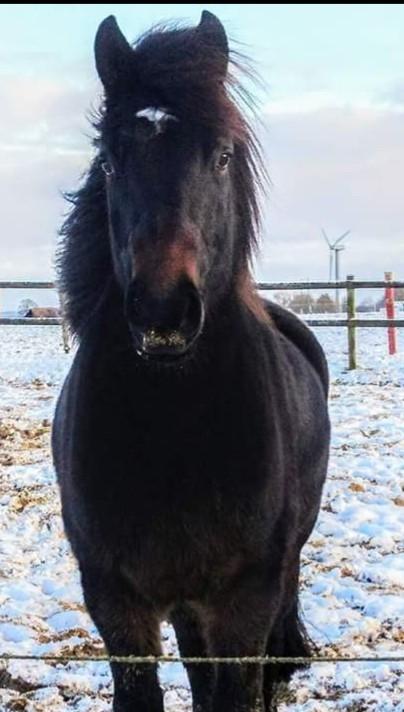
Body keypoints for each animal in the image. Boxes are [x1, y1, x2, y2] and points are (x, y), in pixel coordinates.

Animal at [52, 12, 330, 712]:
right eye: (111, 161)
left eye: (223, 156)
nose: (163, 311)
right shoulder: (117, 598)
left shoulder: (244, 599)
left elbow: (238, 689)